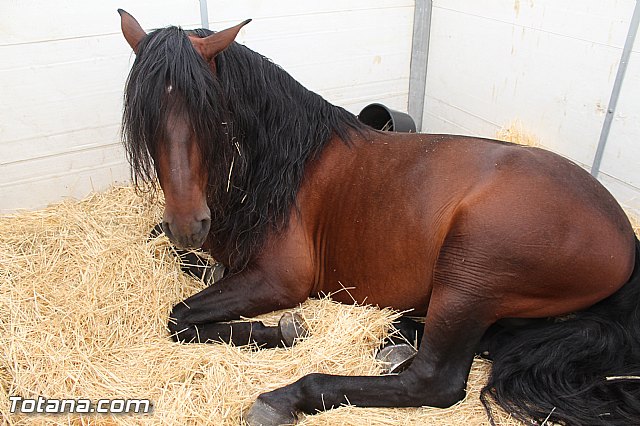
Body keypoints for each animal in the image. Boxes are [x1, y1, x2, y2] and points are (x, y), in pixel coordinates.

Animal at [116, 10, 640, 426]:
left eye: (212, 114)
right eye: (144, 118)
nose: (189, 223)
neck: (286, 163)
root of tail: (624, 235)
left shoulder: (280, 278)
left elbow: (179, 318)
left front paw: (280, 331)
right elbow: (178, 263)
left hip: (471, 274)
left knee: (433, 382)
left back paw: (289, 397)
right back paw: (396, 340)